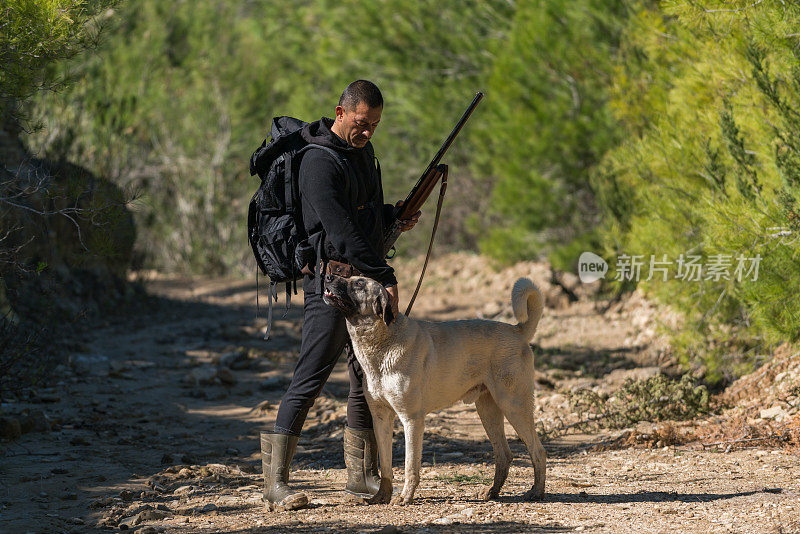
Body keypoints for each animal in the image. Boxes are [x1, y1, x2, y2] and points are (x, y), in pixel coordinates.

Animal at [322, 276, 548, 506]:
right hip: (488, 411)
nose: (328, 276)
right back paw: (492, 491)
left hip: (514, 405)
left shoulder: (412, 419)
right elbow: (385, 464)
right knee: (504, 455)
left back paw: (536, 492)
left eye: (359, 283)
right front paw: (381, 496)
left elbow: (410, 465)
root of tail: (517, 331)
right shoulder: (381, 418)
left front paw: (405, 497)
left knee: (537, 450)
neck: (382, 341)